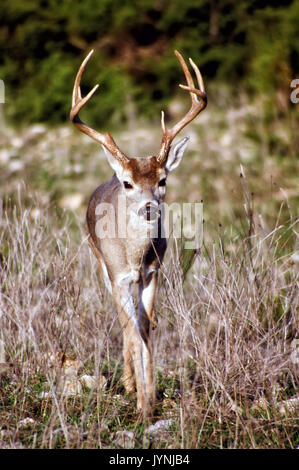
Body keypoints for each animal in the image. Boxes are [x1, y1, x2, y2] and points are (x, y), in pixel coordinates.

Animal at [70, 47, 207, 416]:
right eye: (129, 183)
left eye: (162, 180)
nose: (149, 207)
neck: (134, 257)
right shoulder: (117, 274)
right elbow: (131, 327)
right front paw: (143, 402)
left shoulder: (153, 271)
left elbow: (145, 325)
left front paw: (151, 396)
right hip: (99, 263)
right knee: (121, 321)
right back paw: (129, 384)